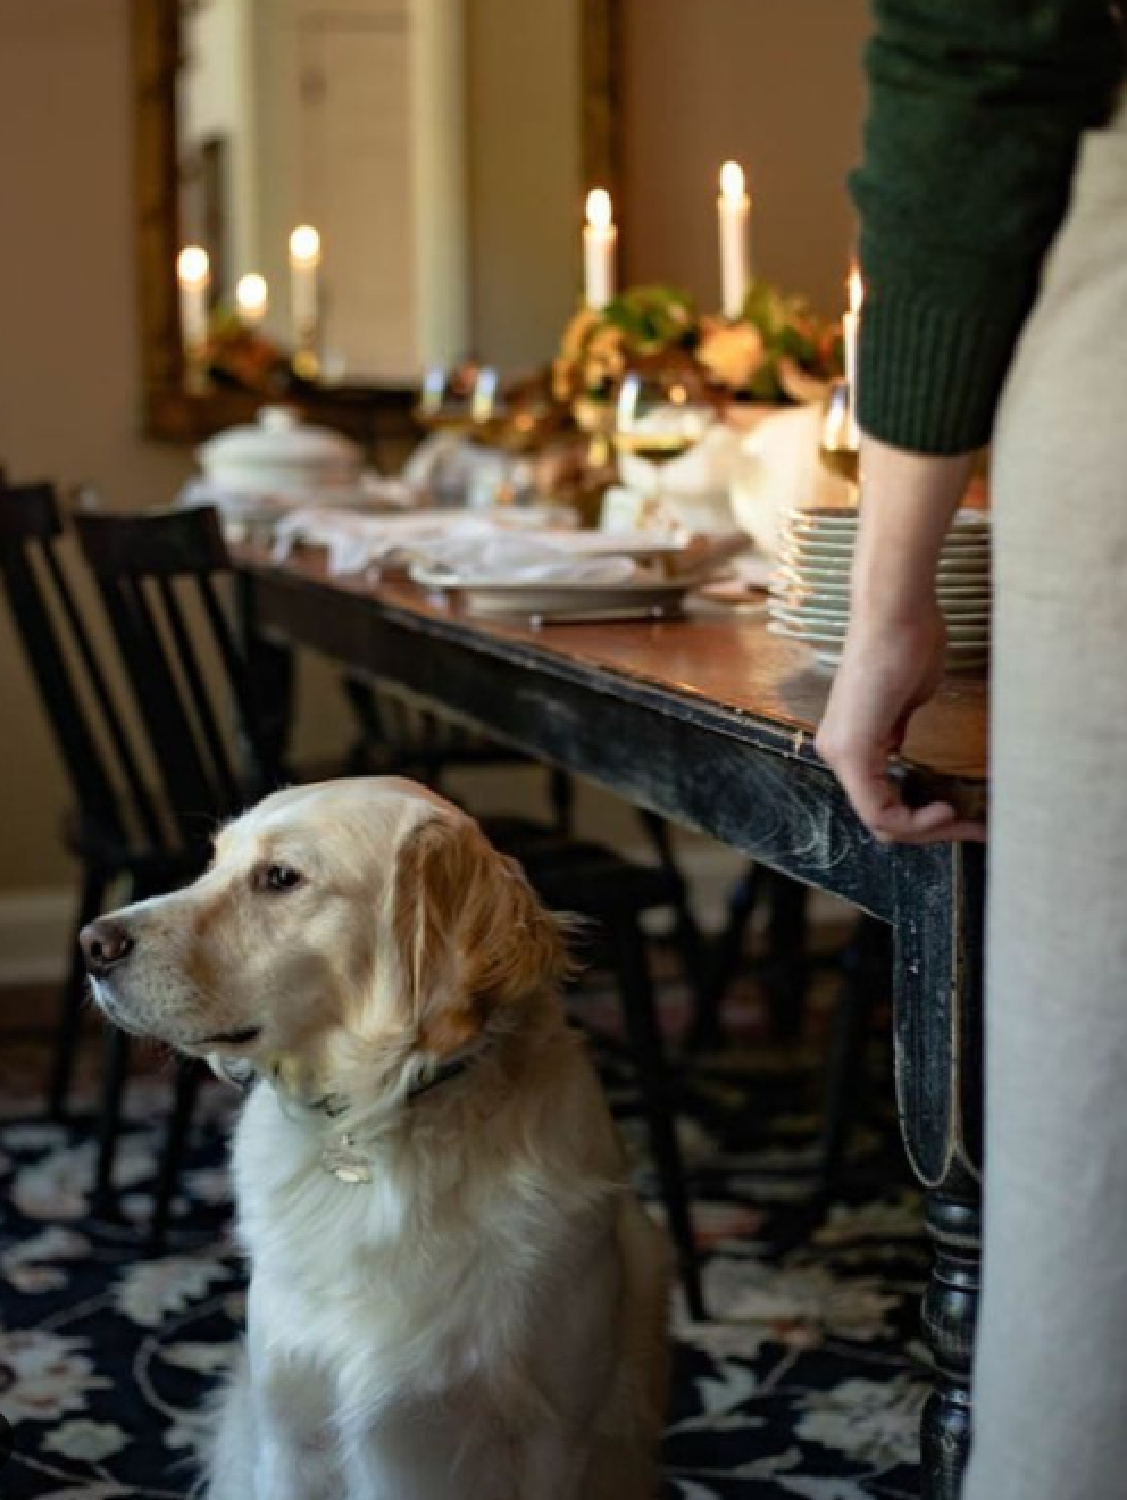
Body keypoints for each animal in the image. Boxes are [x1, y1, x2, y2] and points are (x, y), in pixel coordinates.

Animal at [85, 780, 669, 1500]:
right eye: (213, 861)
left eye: (281, 877)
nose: (92, 943)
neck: (378, 1123)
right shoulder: (292, 1432)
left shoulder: (552, 1438)